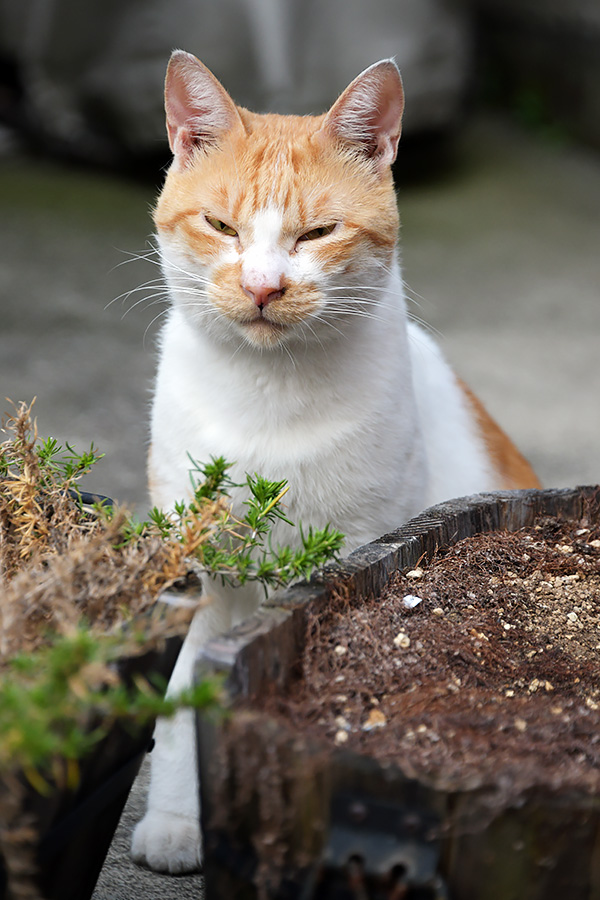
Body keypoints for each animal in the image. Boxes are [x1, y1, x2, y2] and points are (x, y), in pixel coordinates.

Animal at [132, 47, 540, 872]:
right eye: (221, 226)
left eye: (317, 232)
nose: (262, 286)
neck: (269, 396)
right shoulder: (204, 576)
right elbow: (187, 693)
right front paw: (179, 818)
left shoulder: (358, 554)